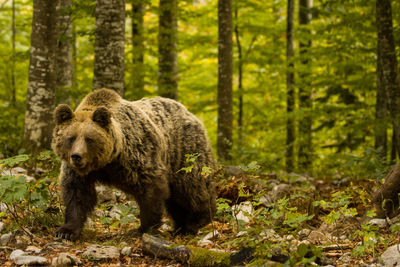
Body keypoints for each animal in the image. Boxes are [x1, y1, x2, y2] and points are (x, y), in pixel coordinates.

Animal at [53, 89, 217, 242]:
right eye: (71, 138)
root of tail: (189, 113)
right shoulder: (78, 172)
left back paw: (195, 222)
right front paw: (66, 231)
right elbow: (77, 195)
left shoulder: (135, 157)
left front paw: (142, 229)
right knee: (176, 199)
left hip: (184, 152)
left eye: (89, 139)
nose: (77, 156)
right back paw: (180, 226)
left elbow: (150, 191)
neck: (107, 161)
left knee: (191, 187)